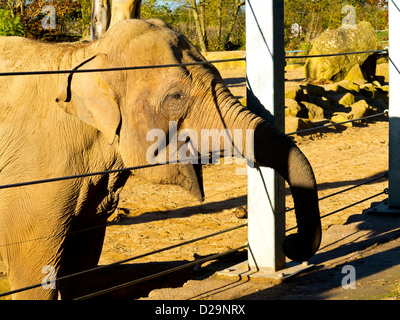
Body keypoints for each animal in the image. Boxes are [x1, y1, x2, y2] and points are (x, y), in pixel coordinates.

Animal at [0, 19, 320, 300]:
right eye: (175, 97)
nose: (290, 242)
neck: (86, 54)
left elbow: (82, 262)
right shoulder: (34, 174)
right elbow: (34, 270)